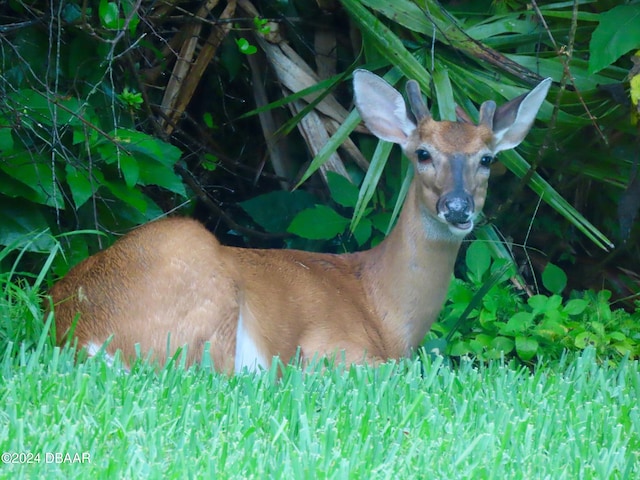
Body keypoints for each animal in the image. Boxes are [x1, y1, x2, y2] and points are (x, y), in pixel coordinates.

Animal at [48, 69, 552, 374]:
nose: (458, 207)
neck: (384, 310)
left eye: (487, 159)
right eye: (423, 153)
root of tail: (83, 335)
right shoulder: (333, 349)